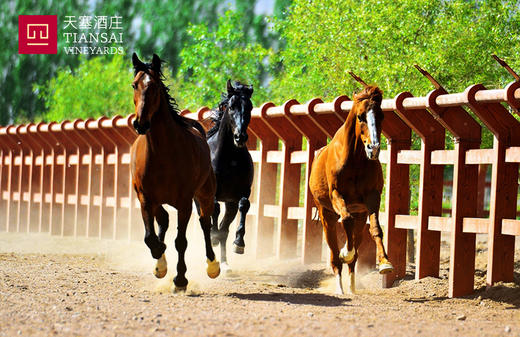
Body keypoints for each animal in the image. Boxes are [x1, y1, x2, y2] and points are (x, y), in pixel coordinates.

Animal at [131, 53, 220, 292]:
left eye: (153, 86)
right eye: (134, 85)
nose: (140, 123)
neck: (162, 153)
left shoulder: (184, 202)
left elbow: (181, 241)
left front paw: (180, 279)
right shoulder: (145, 197)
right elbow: (150, 237)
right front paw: (160, 260)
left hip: (205, 194)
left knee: (205, 223)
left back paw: (212, 265)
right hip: (158, 201)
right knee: (163, 220)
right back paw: (160, 264)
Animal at [308, 84, 394, 294]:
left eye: (381, 116)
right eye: (361, 116)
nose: (374, 148)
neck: (354, 160)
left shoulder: (372, 198)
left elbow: (376, 228)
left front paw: (385, 263)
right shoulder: (336, 195)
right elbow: (346, 219)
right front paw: (345, 251)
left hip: (360, 216)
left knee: (354, 254)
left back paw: (352, 286)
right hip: (326, 215)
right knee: (334, 255)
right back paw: (340, 286)